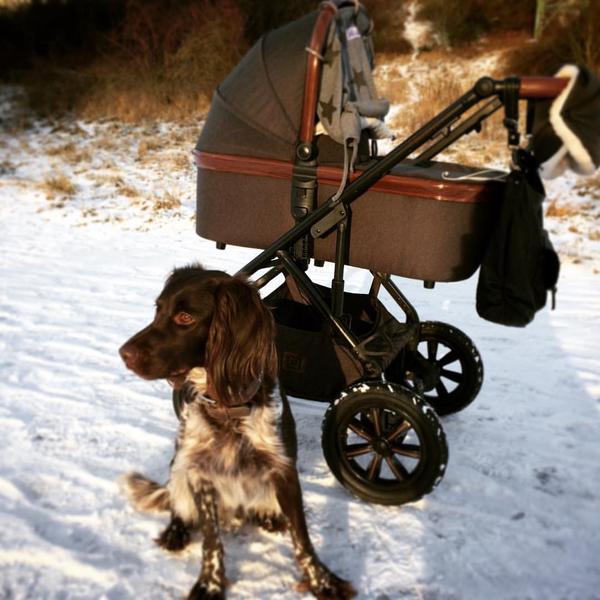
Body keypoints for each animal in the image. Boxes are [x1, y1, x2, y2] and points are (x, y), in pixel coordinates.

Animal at [118, 265, 356, 600]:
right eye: (158, 309)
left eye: (185, 317)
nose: (123, 354)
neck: (228, 408)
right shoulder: (199, 471)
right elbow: (211, 540)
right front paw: (209, 584)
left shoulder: (283, 468)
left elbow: (302, 537)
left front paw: (323, 582)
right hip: (179, 463)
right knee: (177, 503)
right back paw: (175, 532)